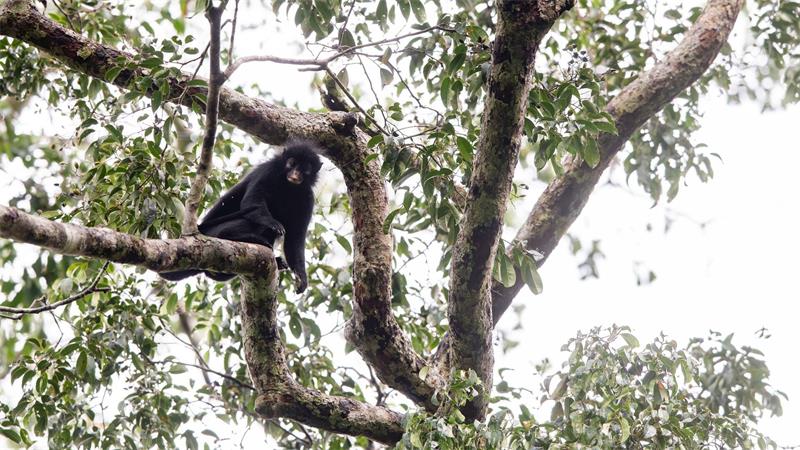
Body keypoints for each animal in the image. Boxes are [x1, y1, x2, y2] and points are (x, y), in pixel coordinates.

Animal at [160, 142, 322, 293]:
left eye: (305, 169)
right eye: (292, 163)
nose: (295, 174)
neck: (288, 186)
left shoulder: (308, 198)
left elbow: (295, 238)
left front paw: (301, 277)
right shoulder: (267, 170)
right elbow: (252, 202)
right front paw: (273, 223)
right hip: (214, 231)